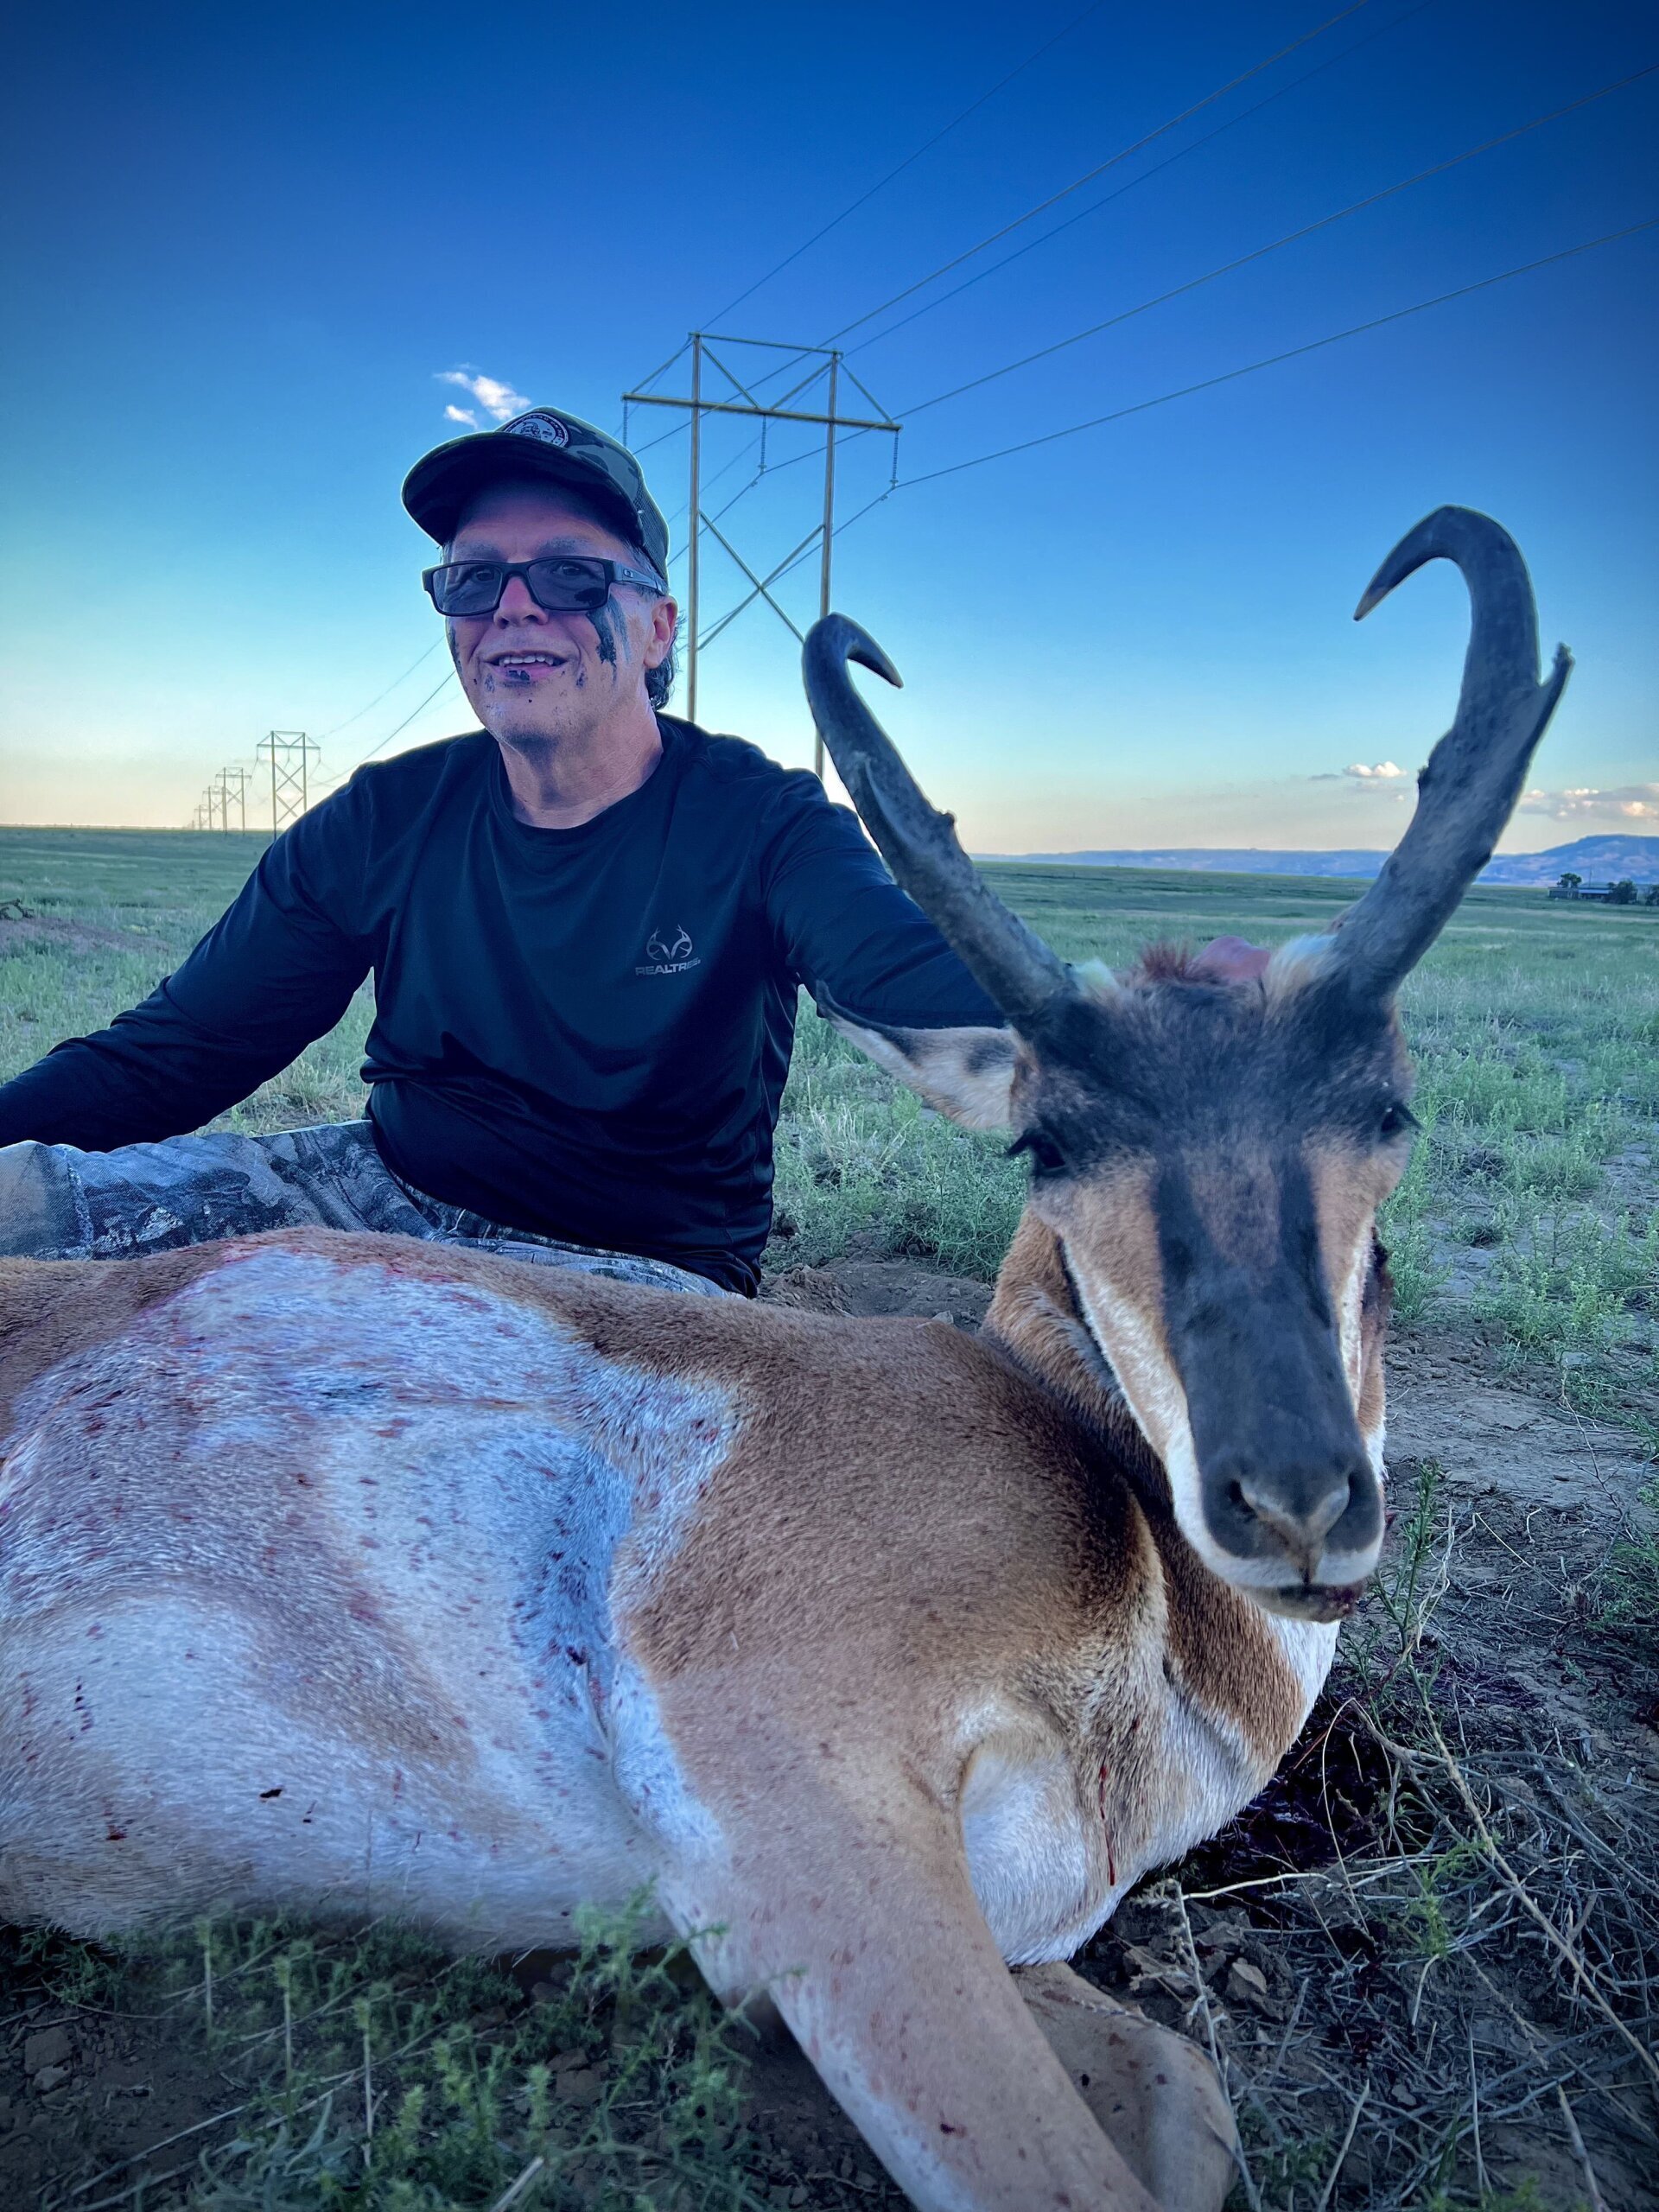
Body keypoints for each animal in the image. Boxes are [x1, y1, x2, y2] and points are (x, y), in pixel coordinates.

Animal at [0, 509, 1567, 2212]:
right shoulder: (810, 1819)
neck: (1108, 1519)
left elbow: (1188, 2099)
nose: (1295, 1503)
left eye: (1388, 1108)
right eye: (1047, 1138)